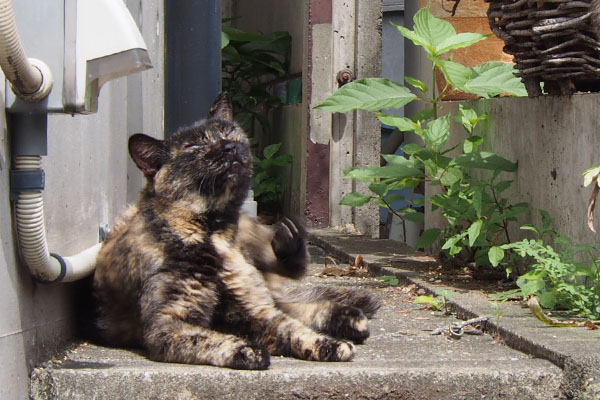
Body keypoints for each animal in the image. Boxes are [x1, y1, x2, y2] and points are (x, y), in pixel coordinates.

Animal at [93, 92, 380, 370]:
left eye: (228, 133)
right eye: (194, 147)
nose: (230, 147)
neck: (213, 234)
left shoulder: (255, 309)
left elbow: (293, 329)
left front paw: (329, 344)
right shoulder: (167, 324)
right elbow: (207, 339)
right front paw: (246, 350)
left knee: (286, 289)